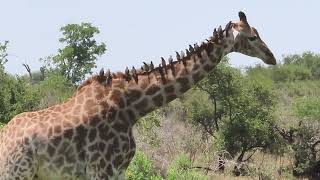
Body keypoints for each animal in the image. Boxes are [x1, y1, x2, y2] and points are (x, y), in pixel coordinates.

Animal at [0, 11, 276, 179]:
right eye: (252, 37)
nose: (271, 57)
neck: (132, 108)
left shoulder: (118, 170)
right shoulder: (102, 169)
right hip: (17, 173)